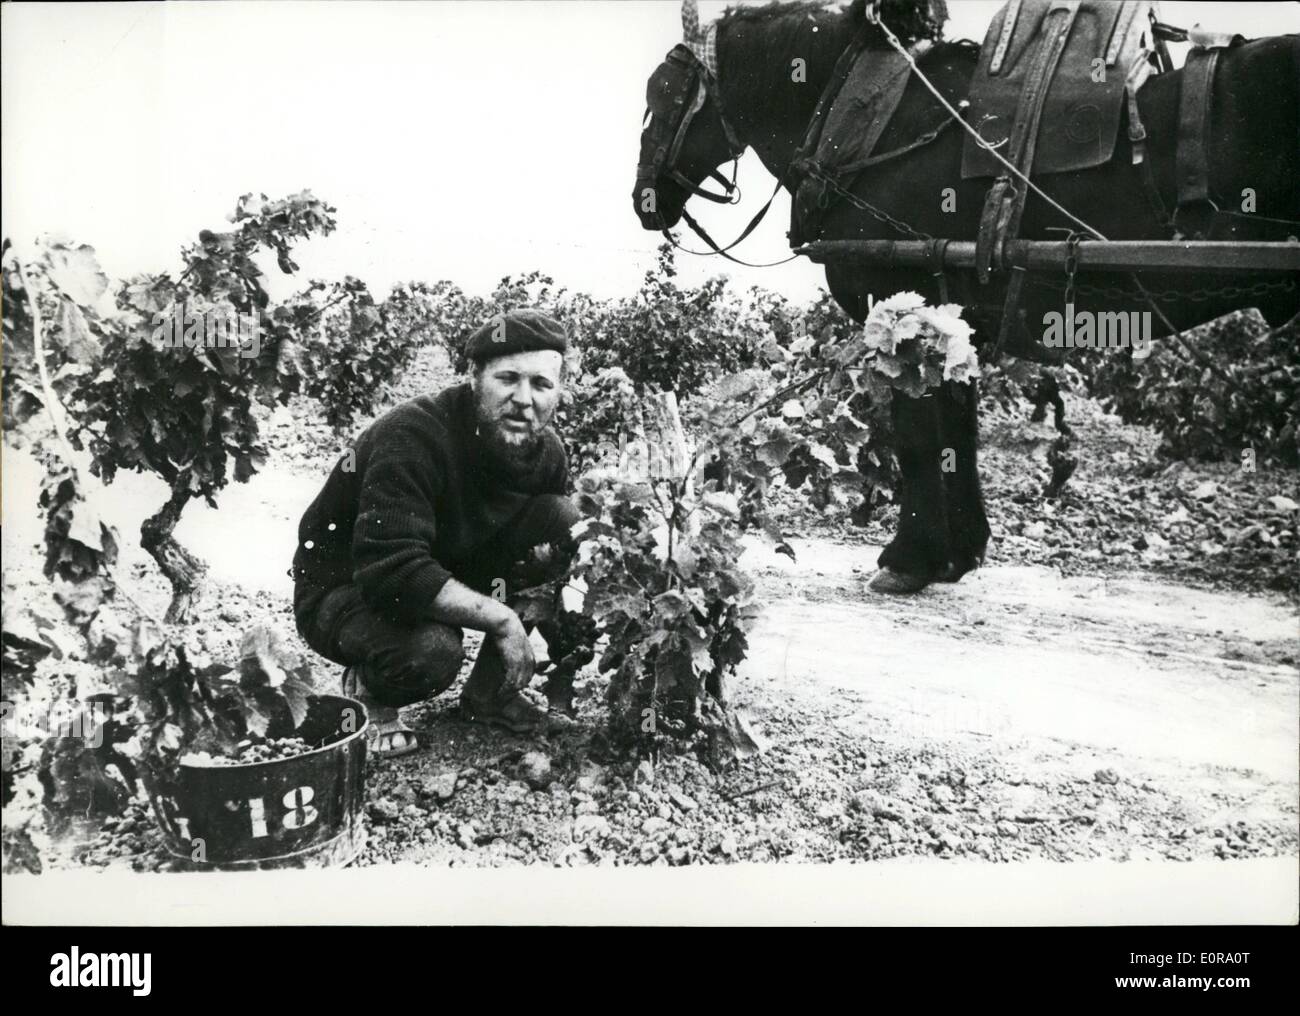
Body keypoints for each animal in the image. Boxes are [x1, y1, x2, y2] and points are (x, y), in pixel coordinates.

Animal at [631, 0, 1300, 597]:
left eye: (661, 94)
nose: (644, 199)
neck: (874, 120)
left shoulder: (908, 312)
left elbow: (918, 438)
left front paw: (910, 559)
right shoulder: (956, 321)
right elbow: (957, 431)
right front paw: (959, 554)